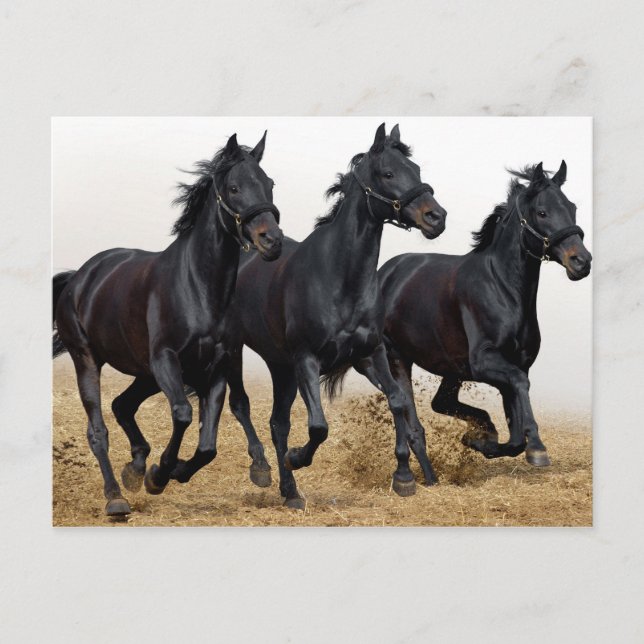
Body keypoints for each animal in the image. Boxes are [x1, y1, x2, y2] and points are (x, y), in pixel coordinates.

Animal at [52, 132, 283, 516]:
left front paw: (168, 471)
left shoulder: (215, 368)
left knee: (122, 405)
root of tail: (79, 278)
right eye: (234, 187)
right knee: (98, 430)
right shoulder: (166, 360)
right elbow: (184, 414)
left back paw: (134, 468)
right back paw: (116, 497)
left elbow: (208, 445)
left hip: (144, 373)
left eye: (270, 184)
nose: (272, 241)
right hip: (88, 360)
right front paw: (159, 474)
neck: (198, 288)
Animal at [224, 123, 447, 509]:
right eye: (388, 173)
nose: (436, 217)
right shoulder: (307, 360)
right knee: (242, 406)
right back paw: (263, 469)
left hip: (281, 366)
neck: (339, 278)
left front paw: (404, 477)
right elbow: (318, 426)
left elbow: (398, 401)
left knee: (277, 423)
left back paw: (290, 492)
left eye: (416, 169)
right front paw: (297, 457)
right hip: (237, 350)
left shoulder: (370, 354)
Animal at [375, 161, 591, 473]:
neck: (502, 288)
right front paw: (537, 448)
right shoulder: (485, 362)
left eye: (572, 207)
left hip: (451, 369)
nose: (582, 262)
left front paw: (480, 440)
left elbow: (516, 434)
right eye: (542, 212)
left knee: (441, 402)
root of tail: (383, 274)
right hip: (397, 357)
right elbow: (520, 391)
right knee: (412, 422)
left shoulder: (514, 365)